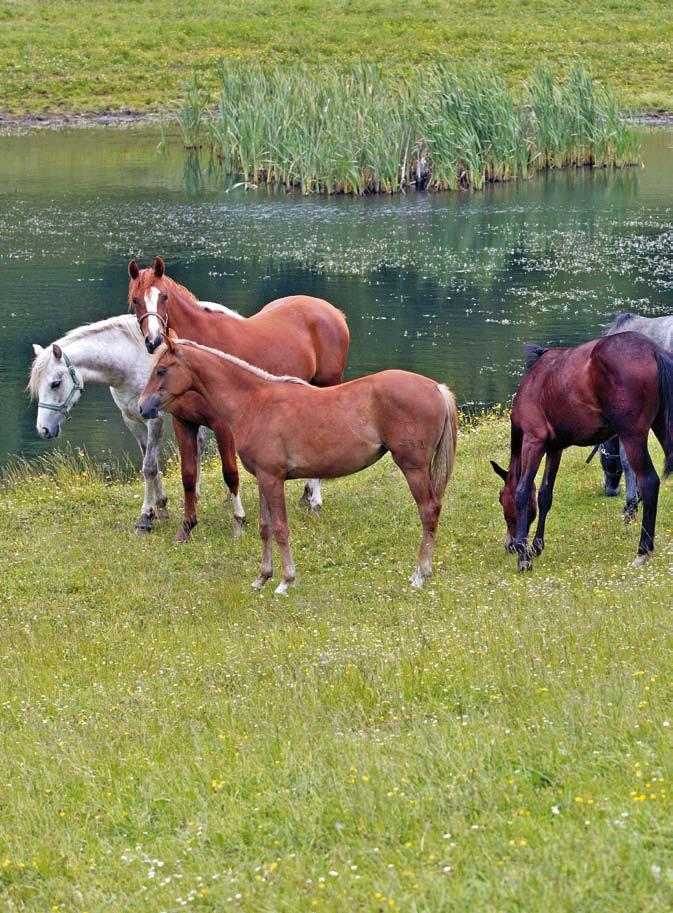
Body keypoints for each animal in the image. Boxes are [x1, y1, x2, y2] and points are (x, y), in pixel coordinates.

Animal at [27, 314, 193, 532]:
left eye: (55, 383)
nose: (43, 429)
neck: (132, 362)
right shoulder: (132, 420)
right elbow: (152, 464)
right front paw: (161, 508)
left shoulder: (154, 420)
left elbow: (149, 467)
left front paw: (145, 518)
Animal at [126, 255, 350, 540]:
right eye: (136, 299)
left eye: (164, 296)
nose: (153, 340)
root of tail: (333, 312)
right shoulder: (183, 423)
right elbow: (188, 476)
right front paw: (187, 527)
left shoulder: (222, 425)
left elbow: (230, 473)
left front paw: (240, 521)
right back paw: (307, 496)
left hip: (326, 387)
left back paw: (315, 502)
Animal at [138, 334, 456, 592]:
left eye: (161, 370)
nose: (142, 407)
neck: (254, 402)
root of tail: (435, 387)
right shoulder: (262, 478)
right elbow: (265, 527)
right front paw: (262, 578)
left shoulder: (272, 478)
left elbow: (280, 528)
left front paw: (285, 581)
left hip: (413, 468)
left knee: (429, 511)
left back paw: (420, 575)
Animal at [490, 328, 672, 568]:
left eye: (501, 498)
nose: (509, 545)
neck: (533, 382)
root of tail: (652, 350)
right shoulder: (554, 449)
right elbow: (545, 495)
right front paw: (536, 546)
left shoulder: (533, 441)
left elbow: (522, 491)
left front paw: (523, 555)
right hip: (661, 426)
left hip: (632, 436)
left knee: (649, 482)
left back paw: (643, 550)